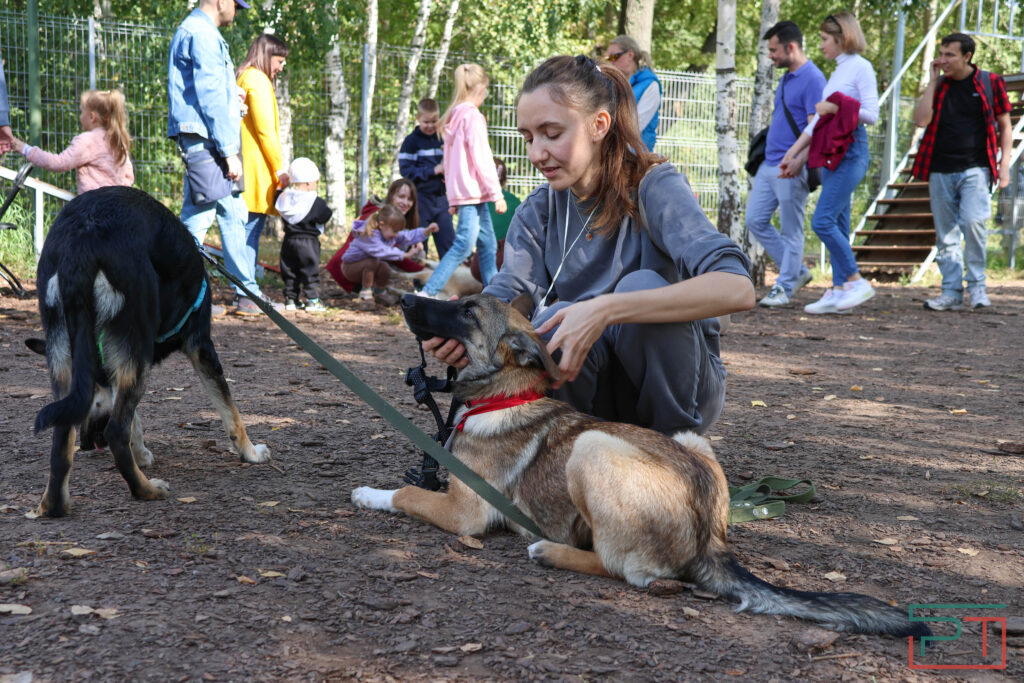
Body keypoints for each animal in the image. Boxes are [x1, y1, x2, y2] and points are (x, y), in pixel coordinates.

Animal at [34, 187, 270, 518]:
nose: (87, 444)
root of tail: (80, 240)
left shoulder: (115, 366)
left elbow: (135, 418)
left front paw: (142, 453)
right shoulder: (201, 347)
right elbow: (230, 411)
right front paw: (250, 452)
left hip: (63, 355)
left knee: (62, 436)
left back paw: (55, 504)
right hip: (138, 347)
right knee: (115, 432)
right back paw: (145, 490)